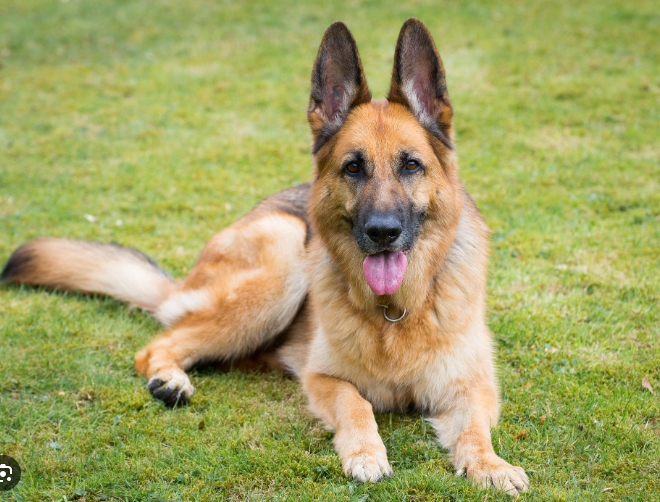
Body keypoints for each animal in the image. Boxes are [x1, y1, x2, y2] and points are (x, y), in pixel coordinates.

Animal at [0, 18, 528, 494]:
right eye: (353, 167)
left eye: (411, 165)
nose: (382, 232)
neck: (394, 313)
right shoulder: (323, 378)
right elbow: (356, 404)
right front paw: (365, 453)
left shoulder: (473, 388)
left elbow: (475, 431)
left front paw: (491, 465)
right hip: (283, 255)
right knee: (157, 344)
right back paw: (170, 379)